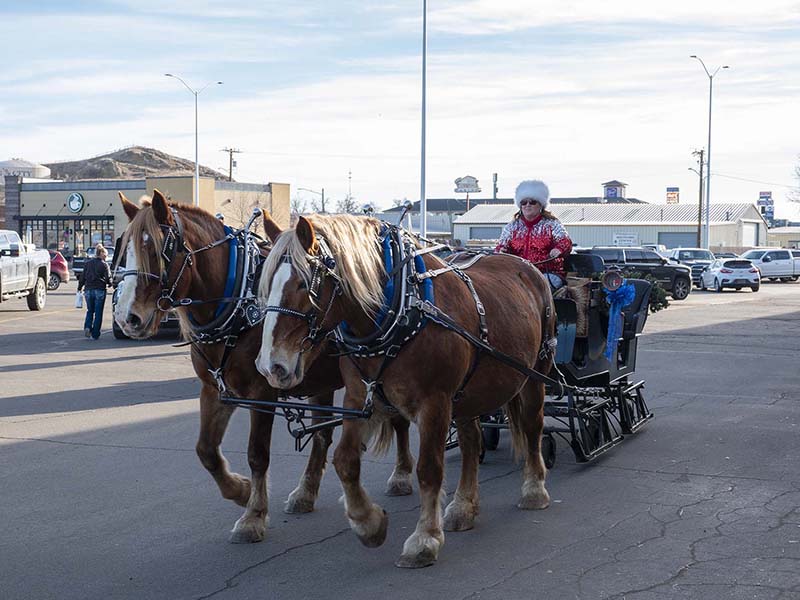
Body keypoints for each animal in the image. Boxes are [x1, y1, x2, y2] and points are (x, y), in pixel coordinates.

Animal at [112, 192, 412, 544]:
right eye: (125, 250)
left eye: (159, 250)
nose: (127, 318)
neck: (236, 300)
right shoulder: (214, 388)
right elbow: (206, 450)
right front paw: (241, 491)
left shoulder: (262, 392)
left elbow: (257, 454)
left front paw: (253, 516)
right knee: (322, 434)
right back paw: (305, 492)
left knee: (398, 420)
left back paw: (402, 475)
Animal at [256, 212, 556, 568]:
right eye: (265, 284)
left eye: (304, 284)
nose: (271, 366)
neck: (399, 311)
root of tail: (528, 267)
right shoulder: (359, 396)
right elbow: (345, 460)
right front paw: (369, 524)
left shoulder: (435, 403)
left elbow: (428, 468)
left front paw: (424, 539)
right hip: (469, 393)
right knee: (472, 442)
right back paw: (463, 506)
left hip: (535, 375)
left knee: (533, 427)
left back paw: (534, 490)